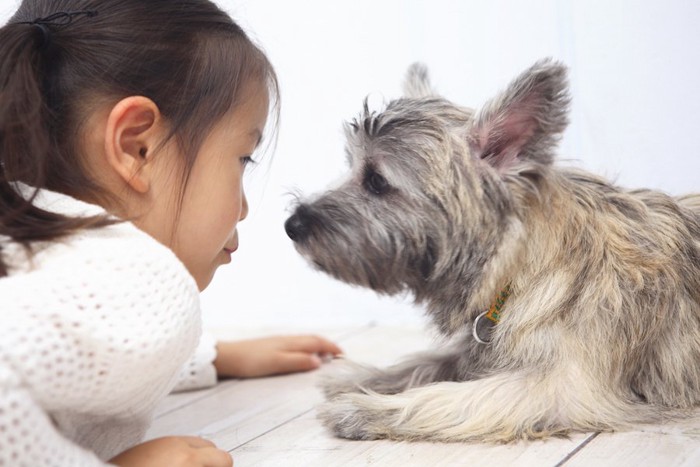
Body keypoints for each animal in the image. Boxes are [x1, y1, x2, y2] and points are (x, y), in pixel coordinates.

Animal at [284, 60, 700, 444]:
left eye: (376, 181)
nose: (292, 225)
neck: (518, 266)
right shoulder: (476, 350)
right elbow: (426, 362)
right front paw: (366, 377)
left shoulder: (562, 387)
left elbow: (451, 397)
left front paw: (366, 408)